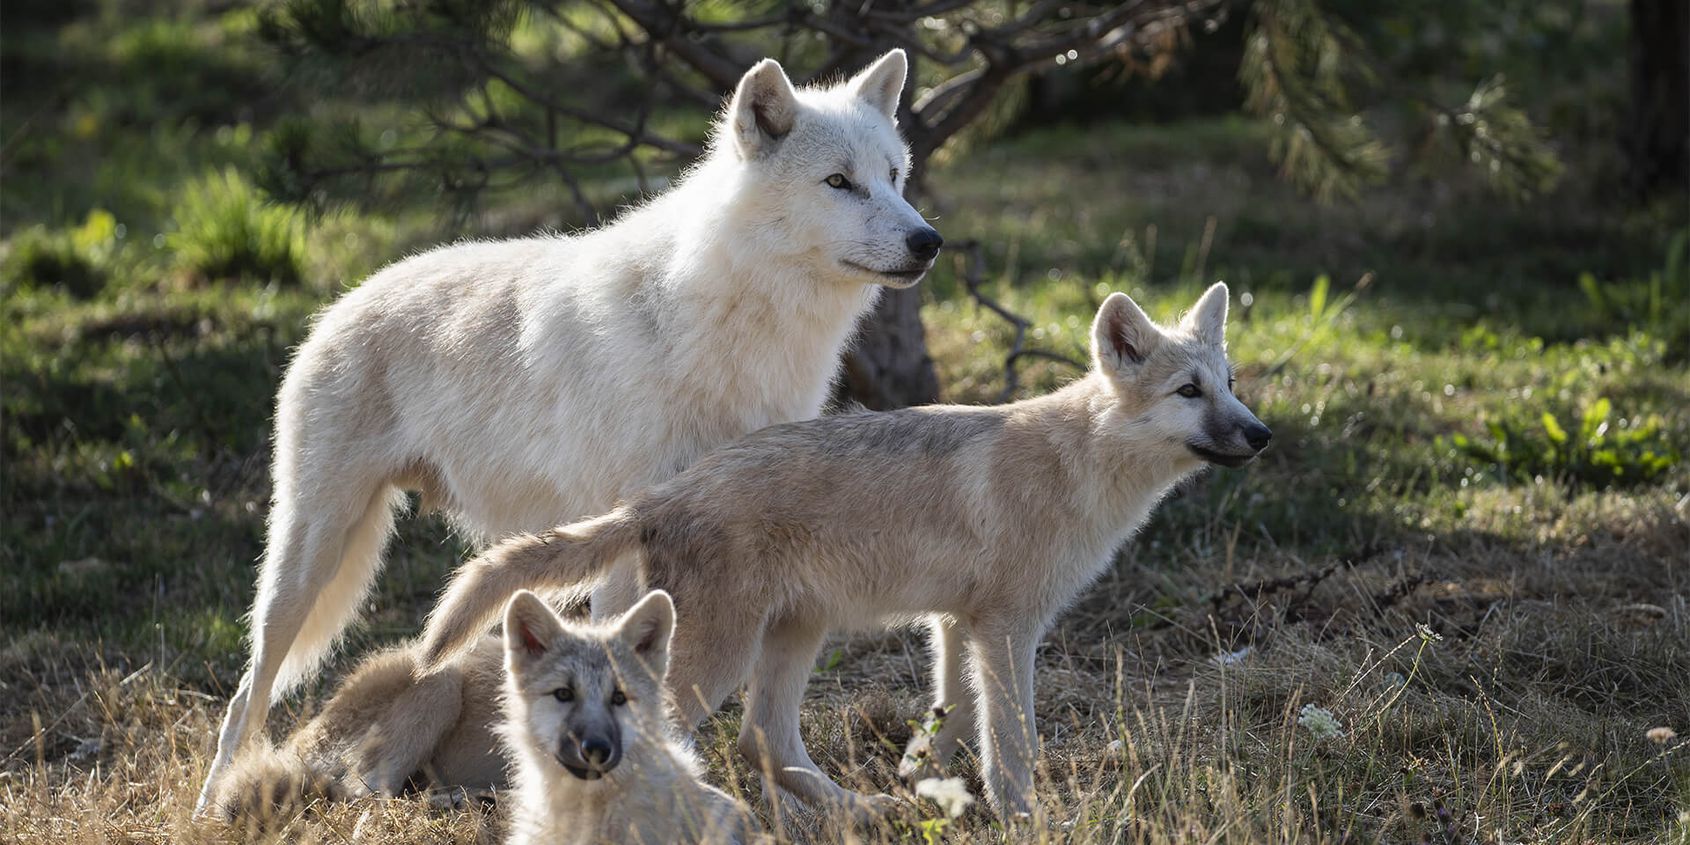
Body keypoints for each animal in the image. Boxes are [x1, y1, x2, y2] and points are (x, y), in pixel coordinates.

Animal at [199, 47, 946, 811]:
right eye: (838, 182)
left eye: (893, 175)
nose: (929, 241)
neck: (736, 321)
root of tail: (340, 303)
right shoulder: (627, 540)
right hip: (310, 556)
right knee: (245, 695)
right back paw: (212, 803)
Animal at [419, 283, 1270, 817]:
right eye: (1190, 392)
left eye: (1230, 382)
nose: (1262, 433)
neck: (1077, 463)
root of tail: (656, 498)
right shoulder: (1007, 631)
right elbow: (1013, 743)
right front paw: (1028, 816)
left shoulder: (954, 626)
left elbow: (948, 725)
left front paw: (928, 788)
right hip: (725, 657)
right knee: (699, 740)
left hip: (796, 636)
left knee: (765, 739)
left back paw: (857, 809)